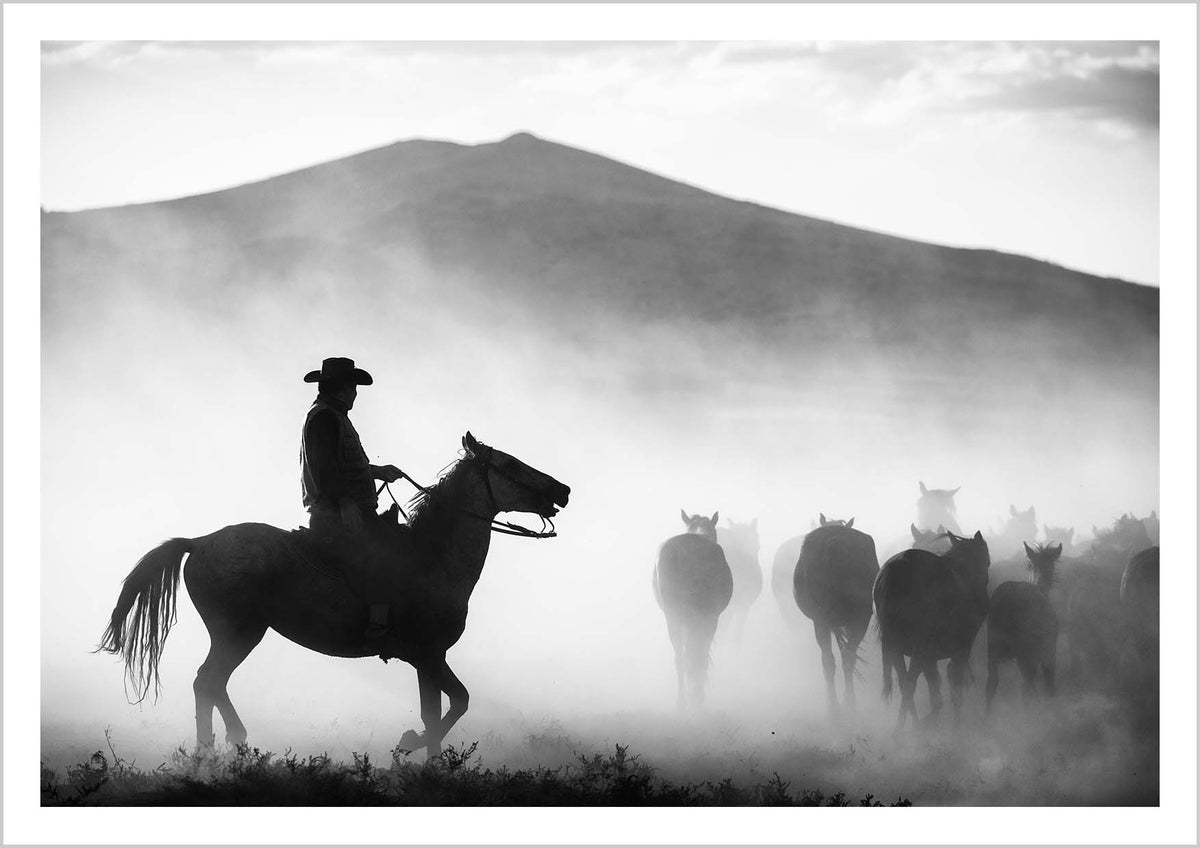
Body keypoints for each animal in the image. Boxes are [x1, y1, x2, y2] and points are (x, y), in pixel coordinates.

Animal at [98, 433, 570, 758]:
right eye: (510, 464)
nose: (562, 490)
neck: (433, 556)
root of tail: (199, 542)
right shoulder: (430, 654)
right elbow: (459, 703)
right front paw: (408, 744)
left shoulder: (426, 660)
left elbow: (435, 711)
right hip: (239, 632)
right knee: (207, 681)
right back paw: (221, 749)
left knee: (210, 684)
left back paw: (221, 747)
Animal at [653, 510, 734, 710]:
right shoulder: (712, 617)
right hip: (704, 616)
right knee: (698, 654)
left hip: (674, 615)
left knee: (681, 658)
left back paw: (683, 703)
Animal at [793, 517, 879, 715]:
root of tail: (835, 542)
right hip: (856, 619)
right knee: (845, 658)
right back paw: (844, 703)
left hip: (826, 621)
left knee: (832, 660)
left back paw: (836, 705)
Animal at [874, 530, 990, 731]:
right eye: (987, 561)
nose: (985, 603)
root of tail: (898, 568)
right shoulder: (959, 651)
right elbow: (954, 688)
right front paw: (955, 730)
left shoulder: (930, 657)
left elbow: (935, 690)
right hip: (919, 648)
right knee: (910, 684)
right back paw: (904, 730)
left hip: (896, 646)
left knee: (905, 683)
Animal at [985, 542, 1061, 712]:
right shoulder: (1048, 652)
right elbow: (1048, 686)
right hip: (1026, 652)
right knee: (1027, 686)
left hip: (994, 648)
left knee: (992, 684)